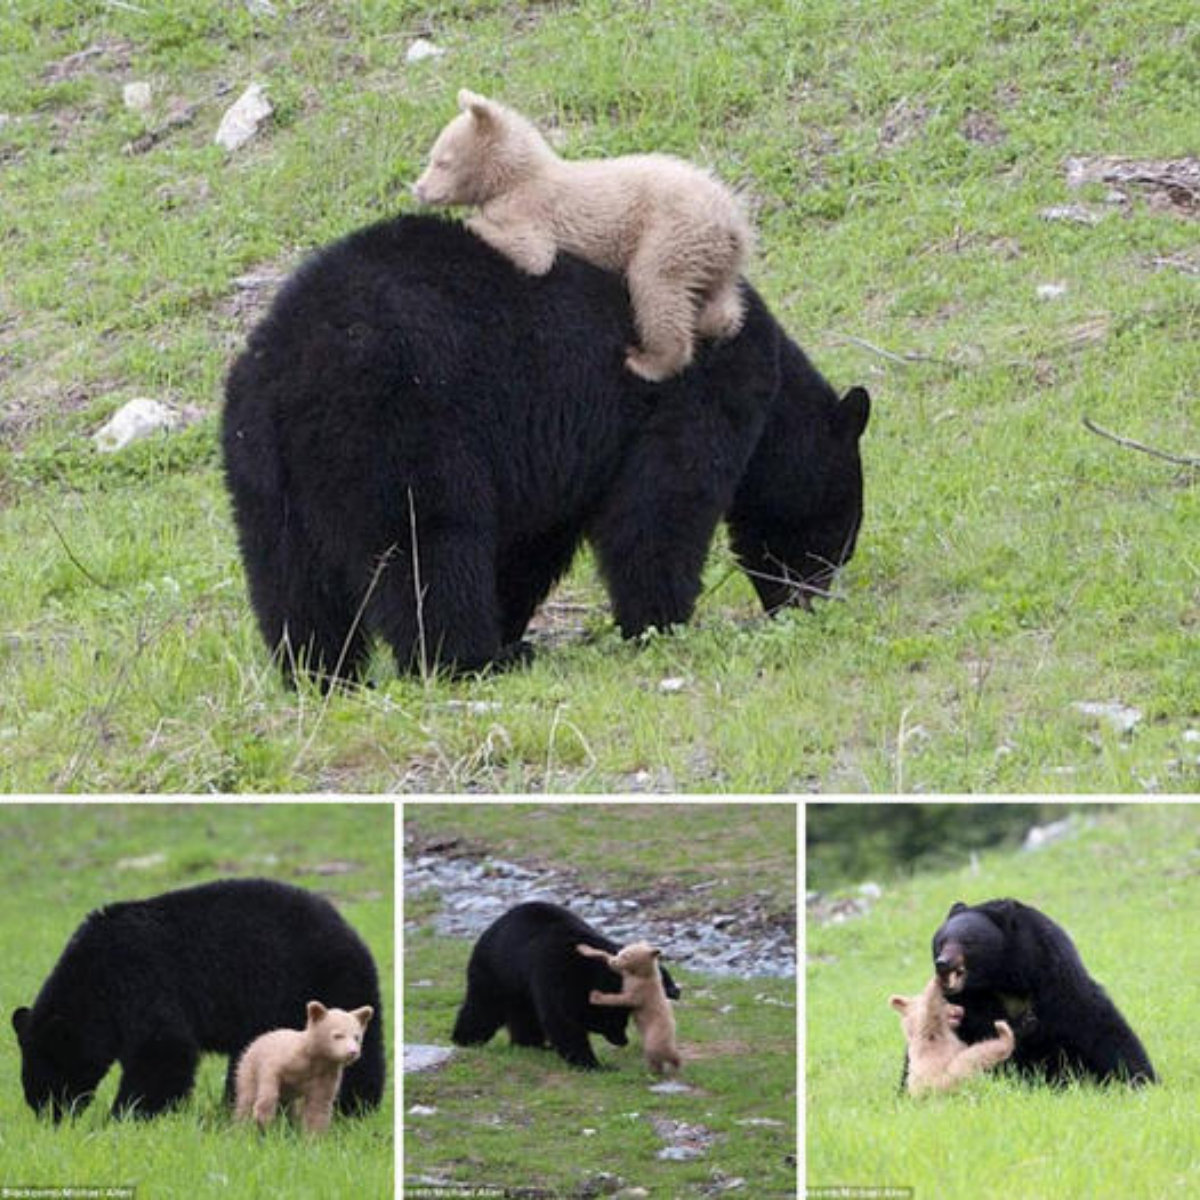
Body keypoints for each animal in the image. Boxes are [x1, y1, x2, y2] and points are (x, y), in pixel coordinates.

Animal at [11, 878, 386, 1118]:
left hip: (324, 982)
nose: (48, 1114)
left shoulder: (142, 978)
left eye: (51, 1075)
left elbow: (163, 1048)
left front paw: (123, 1118)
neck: (95, 980)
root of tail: (351, 931)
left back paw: (354, 1107)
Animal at [220, 213, 868, 686]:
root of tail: (288, 373)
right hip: (399, 432)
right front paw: (662, 624)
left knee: (290, 578)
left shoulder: (557, 462)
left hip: (261, 475)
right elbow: (659, 510)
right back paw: (471, 661)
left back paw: (318, 675)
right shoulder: (692, 396)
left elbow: (531, 545)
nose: (810, 601)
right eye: (839, 536)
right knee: (430, 550)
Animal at [451, 902, 681, 1070]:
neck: (588, 970)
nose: (622, 1041)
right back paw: (465, 1039)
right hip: (496, 969)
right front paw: (594, 1064)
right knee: (483, 1005)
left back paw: (531, 1044)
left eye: (624, 1019)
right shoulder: (555, 973)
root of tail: (493, 926)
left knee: (522, 1013)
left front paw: (670, 988)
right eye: (611, 1022)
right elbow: (563, 1020)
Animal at [916, 902, 1152, 1089]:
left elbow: (1100, 1027)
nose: (943, 963)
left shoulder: (1057, 981)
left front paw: (1139, 1078)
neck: (1005, 978)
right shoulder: (965, 1002)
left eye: (968, 942)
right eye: (941, 942)